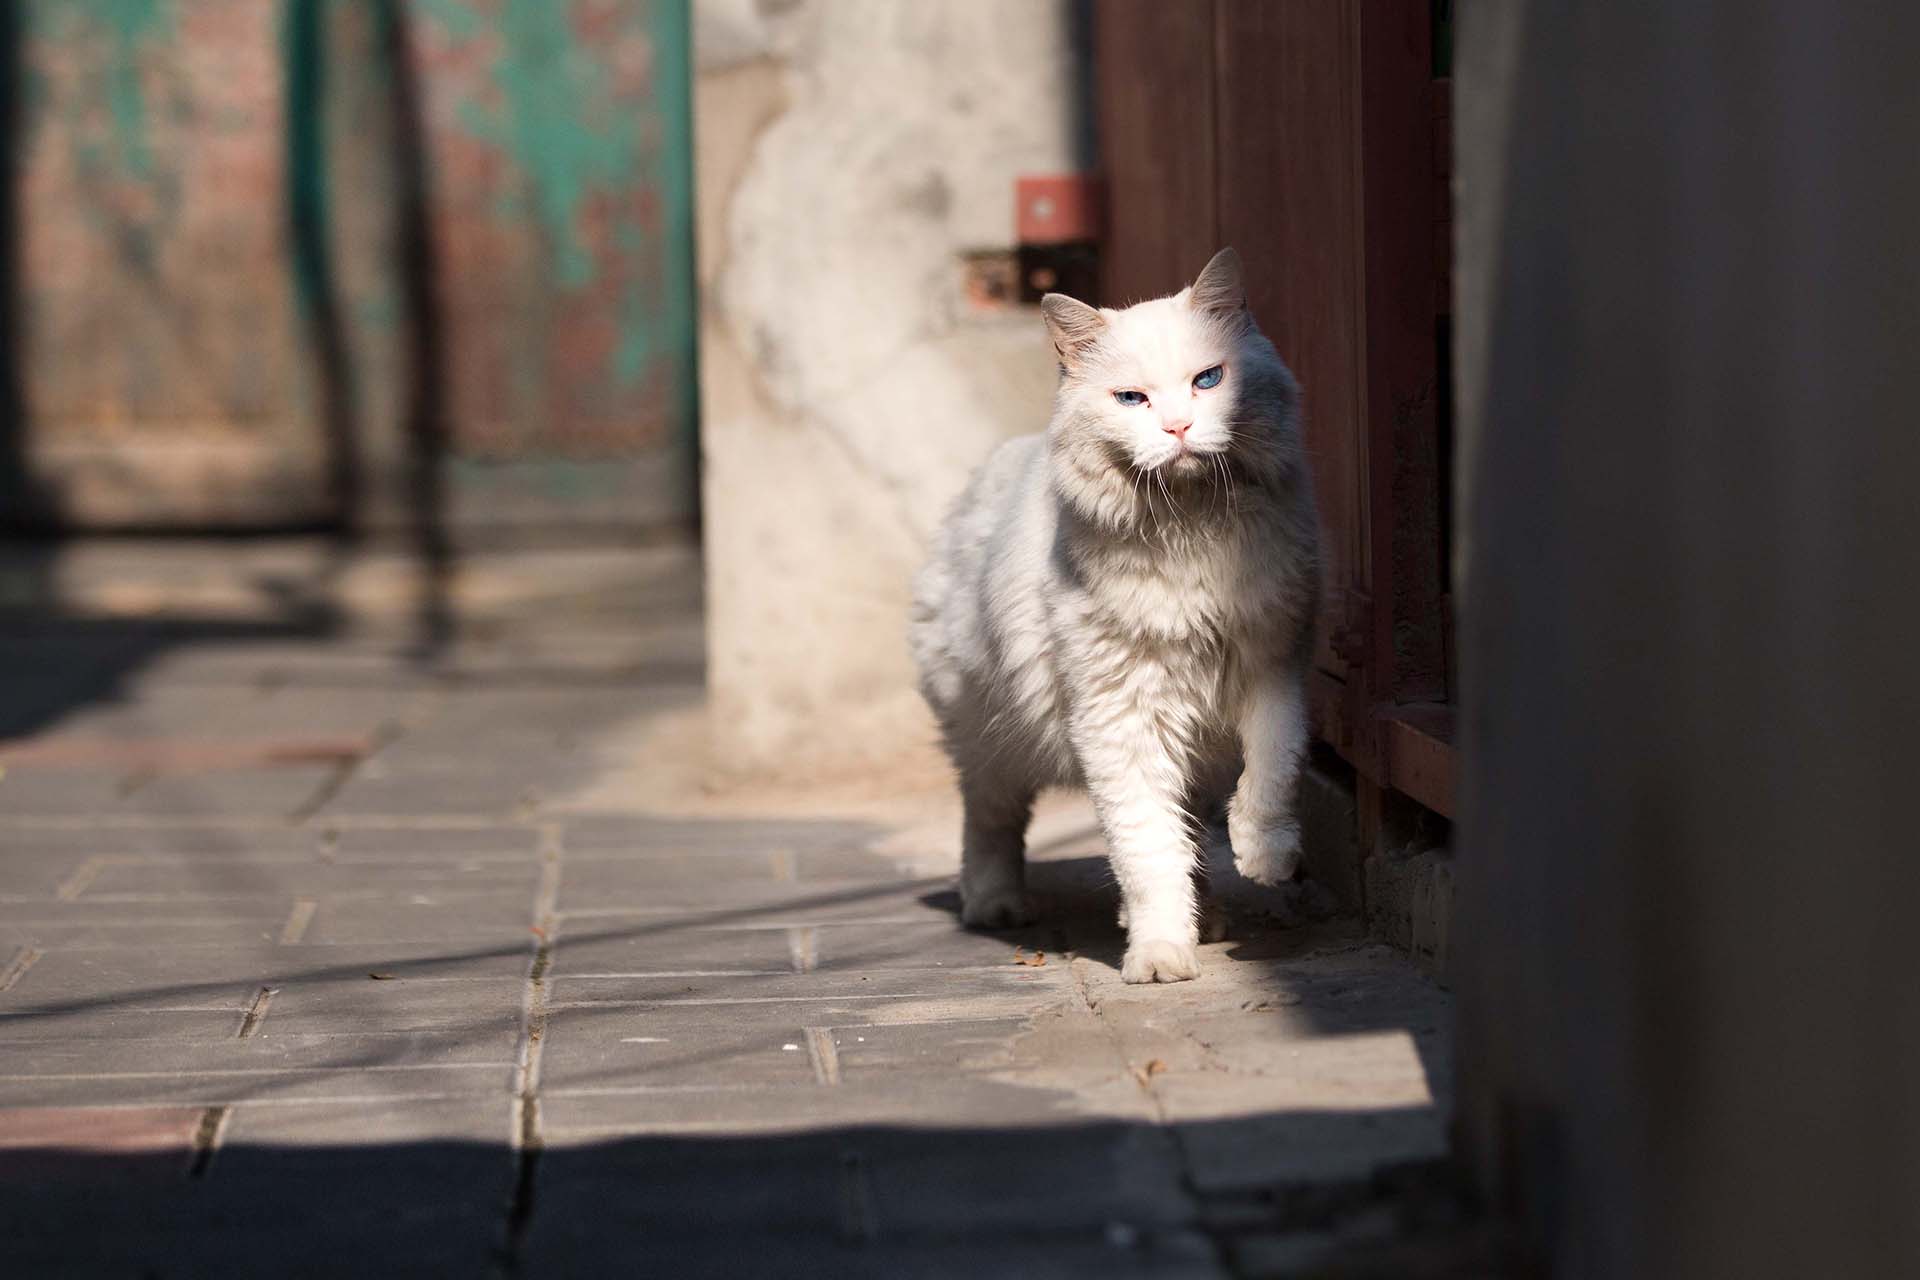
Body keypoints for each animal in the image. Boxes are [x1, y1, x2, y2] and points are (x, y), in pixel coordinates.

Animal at [913, 253, 1320, 990]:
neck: (1193, 530)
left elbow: (1272, 774)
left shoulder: (1276, 671)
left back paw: (1208, 917)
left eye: (1209, 380)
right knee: (989, 822)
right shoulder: (1119, 719)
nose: (1178, 429)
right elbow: (1146, 849)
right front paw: (1158, 956)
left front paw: (1265, 858)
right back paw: (995, 905)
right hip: (986, 739)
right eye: (1132, 400)